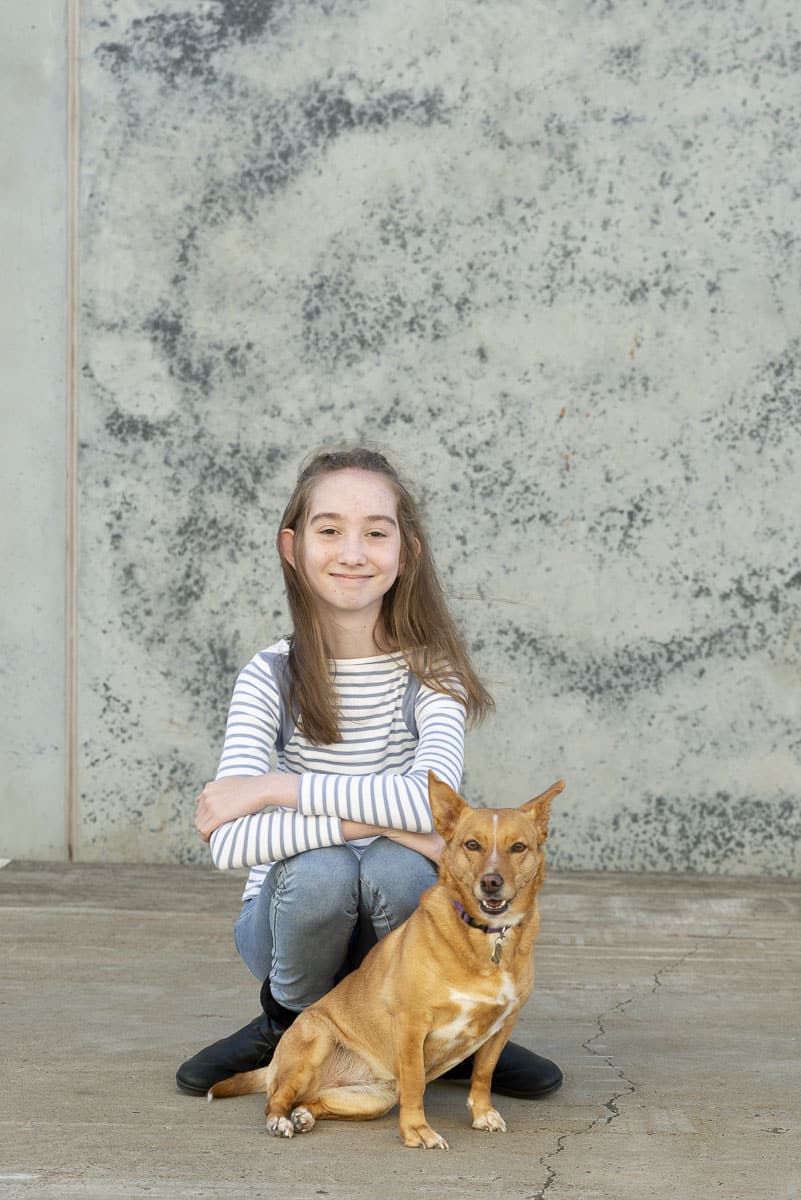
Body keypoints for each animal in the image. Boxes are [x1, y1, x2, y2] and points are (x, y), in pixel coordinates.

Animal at [208, 771, 564, 1149]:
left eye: (518, 848)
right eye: (472, 845)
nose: (492, 882)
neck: (487, 937)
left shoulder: (503, 1024)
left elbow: (484, 1073)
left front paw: (483, 1114)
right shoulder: (411, 1024)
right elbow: (415, 1083)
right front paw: (417, 1131)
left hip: (372, 1099)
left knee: (311, 1101)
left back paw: (304, 1115)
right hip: (316, 1041)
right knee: (277, 1097)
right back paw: (280, 1120)